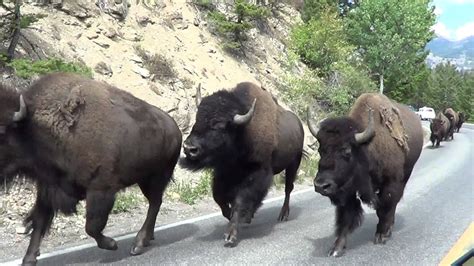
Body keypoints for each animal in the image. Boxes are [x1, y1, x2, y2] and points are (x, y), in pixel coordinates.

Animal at [0, 72, 181, 264]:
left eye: (2, 131)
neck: (35, 130)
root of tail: (175, 129)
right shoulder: (48, 189)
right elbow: (40, 222)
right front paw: (29, 259)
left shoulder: (101, 190)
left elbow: (92, 226)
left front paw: (111, 244)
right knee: (155, 204)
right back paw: (147, 239)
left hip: (154, 179)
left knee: (155, 204)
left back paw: (138, 244)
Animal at [178, 82, 304, 246]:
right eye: (197, 118)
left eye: (219, 125)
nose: (189, 148)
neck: (243, 133)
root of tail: (299, 124)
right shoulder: (223, 173)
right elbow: (219, 197)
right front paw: (233, 215)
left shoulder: (257, 174)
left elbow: (240, 200)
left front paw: (231, 234)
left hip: (293, 164)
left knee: (288, 188)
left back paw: (283, 215)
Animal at [310, 92, 424, 256]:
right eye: (320, 150)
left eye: (347, 151)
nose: (321, 185)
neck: (366, 149)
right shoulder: (349, 188)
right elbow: (346, 216)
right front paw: (336, 248)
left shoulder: (391, 183)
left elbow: (385, 208)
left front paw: (381, 235)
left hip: (406, 175)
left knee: (393, 205)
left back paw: (388, 230)